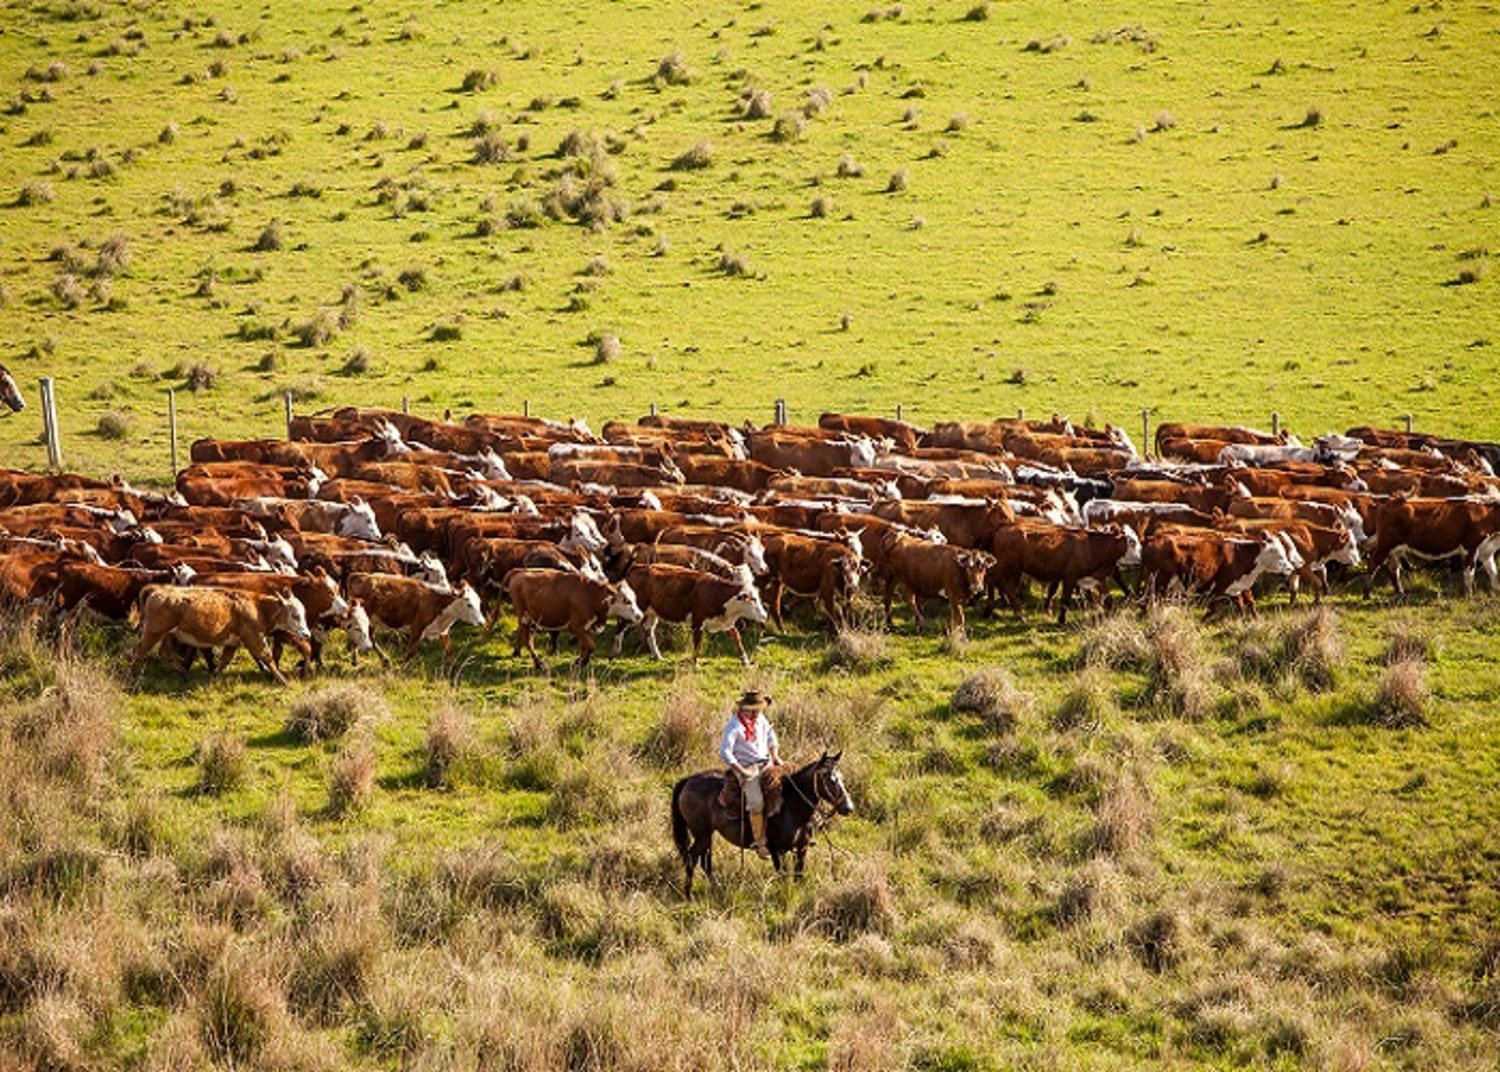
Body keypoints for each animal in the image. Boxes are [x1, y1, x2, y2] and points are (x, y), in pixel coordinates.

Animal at [672, 755, 852, 899]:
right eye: (828, 778)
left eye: (842, 777)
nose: (848, 807)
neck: (792, 806)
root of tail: (688, 780)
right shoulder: (776, 850)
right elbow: (782, 875)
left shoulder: (802, 848)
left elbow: (798, 874)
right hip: (701, 834)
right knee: (692, 858)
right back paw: (689, 895)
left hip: (707, 835)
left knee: (705, 861)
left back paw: (717, 889)